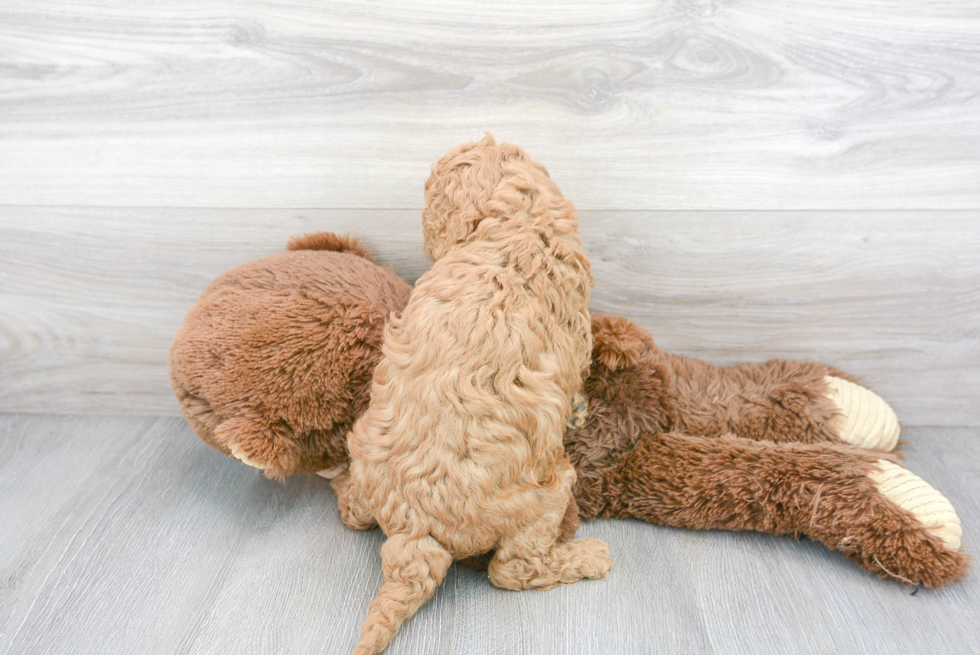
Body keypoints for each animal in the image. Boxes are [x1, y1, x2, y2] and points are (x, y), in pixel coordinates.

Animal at [340, 136, 608, 652]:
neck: (517, 222)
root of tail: (414, 528)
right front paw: (580, 411)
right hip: (547, 493)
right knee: (512, 569)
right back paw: (587, 555)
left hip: (364, 450)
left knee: (352, 515)